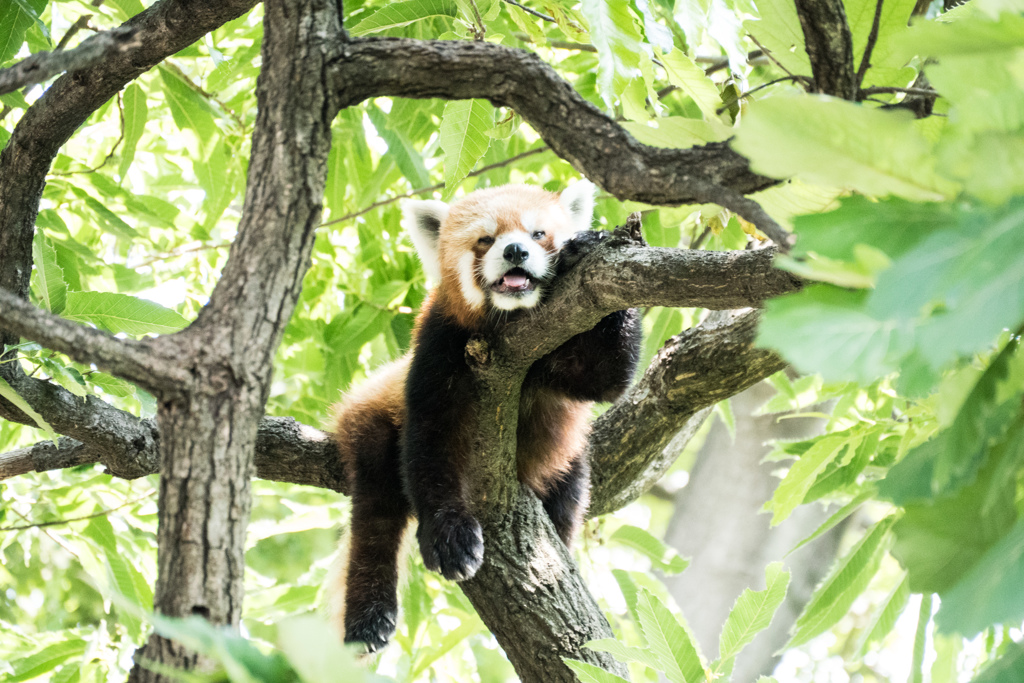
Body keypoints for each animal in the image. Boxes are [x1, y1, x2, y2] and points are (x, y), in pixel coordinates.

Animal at [331, 181, 638, 651]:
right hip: (371, 422)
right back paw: (369, 617)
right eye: (485, 240)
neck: (509, 325)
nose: (515, 251)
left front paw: (588, 246)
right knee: (376, 514)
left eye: (537, 234)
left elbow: (607, 380)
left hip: (566, 465)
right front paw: (450, 536)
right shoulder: (438, 345)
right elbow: (431, 439)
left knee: (569, 491)